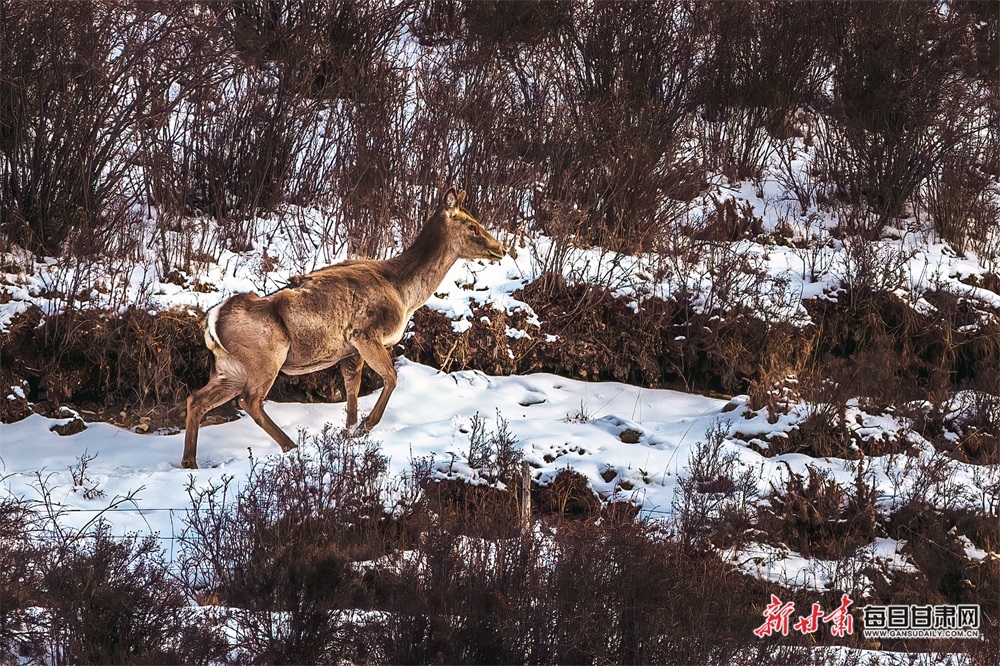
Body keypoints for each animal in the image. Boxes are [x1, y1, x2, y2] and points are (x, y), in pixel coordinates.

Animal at [180, 187, 504, 466]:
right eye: (472, 225)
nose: (500, 249)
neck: (403, 292)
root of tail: (212, 323)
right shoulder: (366, 333)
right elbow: (391, 378)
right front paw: (364, 426)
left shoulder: (350, 350)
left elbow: (352, 388)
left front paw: (348, 431)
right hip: (264, 360)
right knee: (250, 400)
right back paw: (290, 446)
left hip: (229, 369)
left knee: (197, 399)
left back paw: (190, 462)